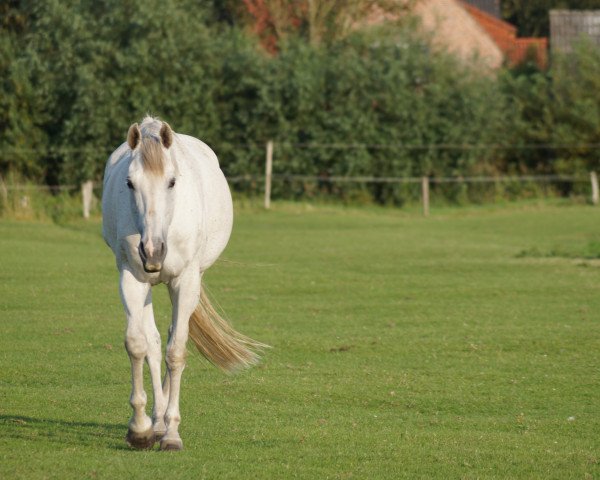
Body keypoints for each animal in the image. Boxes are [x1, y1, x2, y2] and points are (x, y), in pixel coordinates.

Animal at [102, 116, 264, 450]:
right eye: (129, 183)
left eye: (172, 182)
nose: (152, 252)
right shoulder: (131, 278)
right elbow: (137, 344)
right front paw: (140, 429)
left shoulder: (185, 282)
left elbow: (176, 352)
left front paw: (172, 433)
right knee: (153, 343)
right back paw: (155, 421)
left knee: (171, 338)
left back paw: (164, 423)